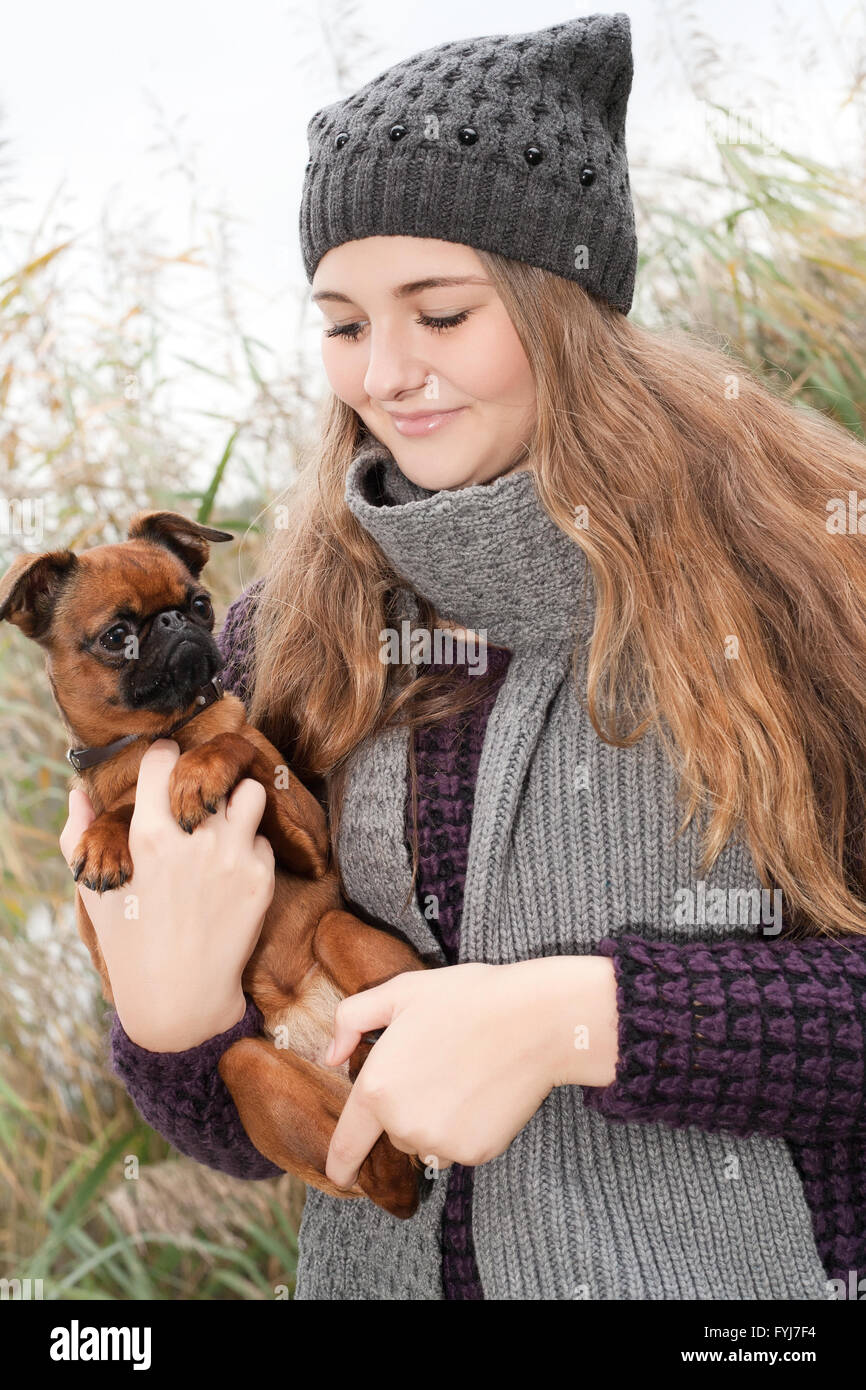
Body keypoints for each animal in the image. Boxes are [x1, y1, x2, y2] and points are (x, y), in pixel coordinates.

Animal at [0, 511, 428, 1217]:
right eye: (116, 636)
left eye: (200, 603)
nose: (179, 623)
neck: (156, 735)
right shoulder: (101, 950)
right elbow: (117, 811)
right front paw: (110, 836)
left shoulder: (310, 843)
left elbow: (230, 740)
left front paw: (195, 774)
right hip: (249, 1069)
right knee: (378, 1181)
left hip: (343, 939)